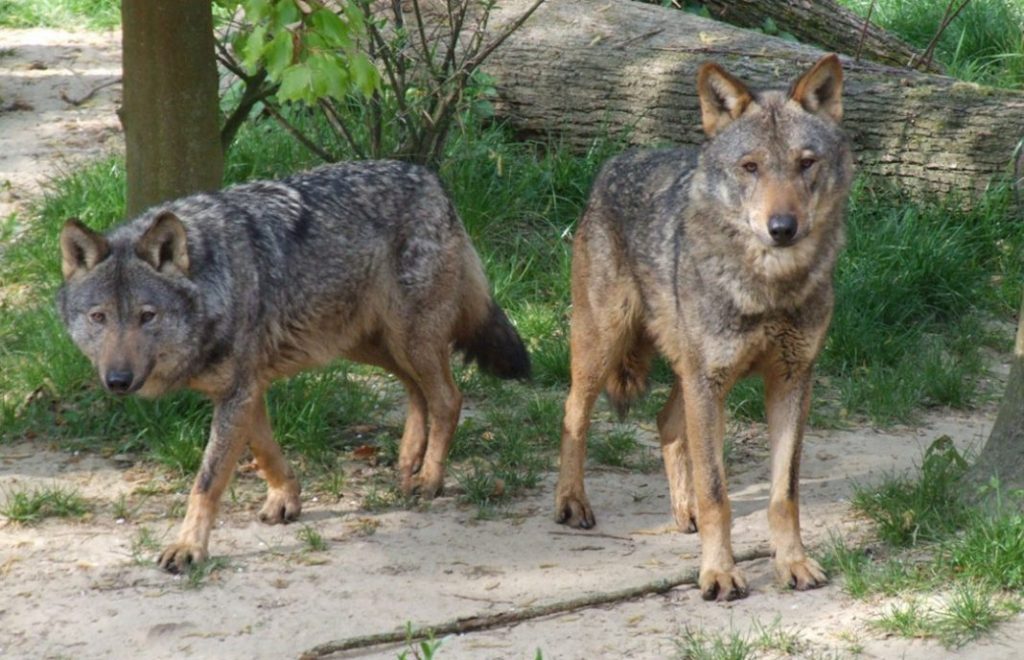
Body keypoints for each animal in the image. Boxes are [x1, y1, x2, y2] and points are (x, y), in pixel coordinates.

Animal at [57, 160, 530, 573]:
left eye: (147, 316)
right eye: (99, 317)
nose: (118, 381)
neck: (215, 283)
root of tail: (431, 178)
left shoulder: (238, 392)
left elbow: (206, 481)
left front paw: (188, 547)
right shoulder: (247, 389)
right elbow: (266, 451)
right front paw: (286, 499)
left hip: (407, 338)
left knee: (448, 397)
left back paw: (430, 477)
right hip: (363, 343)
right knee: (416, 390)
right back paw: (408, 457)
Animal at [554, 54, 853, 601]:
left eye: (806, 163)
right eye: (750, 167)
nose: (783, 228)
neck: (768, 289)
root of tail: (615, 163)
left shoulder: (792, 380)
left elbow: (784, 495)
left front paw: (793, 563)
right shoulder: (709, 381)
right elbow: (719, 492)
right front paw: (718, 573)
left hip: (690, 375)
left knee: (666, 424)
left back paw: (683, 511)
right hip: (606, 348)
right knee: (574, 413)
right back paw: (571, 503)